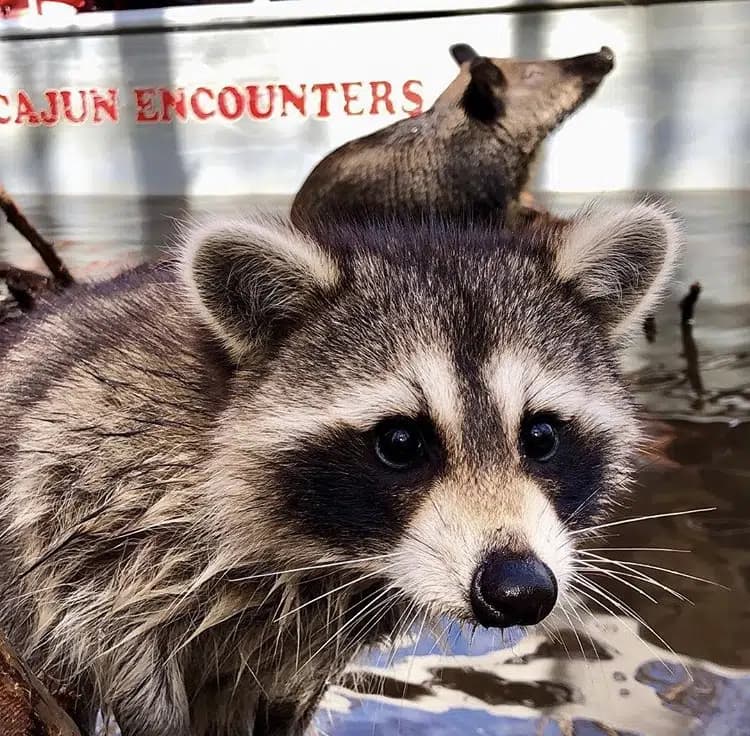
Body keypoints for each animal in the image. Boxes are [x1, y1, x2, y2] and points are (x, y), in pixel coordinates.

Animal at [0, 203, 680, 736]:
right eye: (401, 443)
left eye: (540, 437)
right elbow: (101, 625)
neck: (331, 550)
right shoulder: (92, 467)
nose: (519, 589)